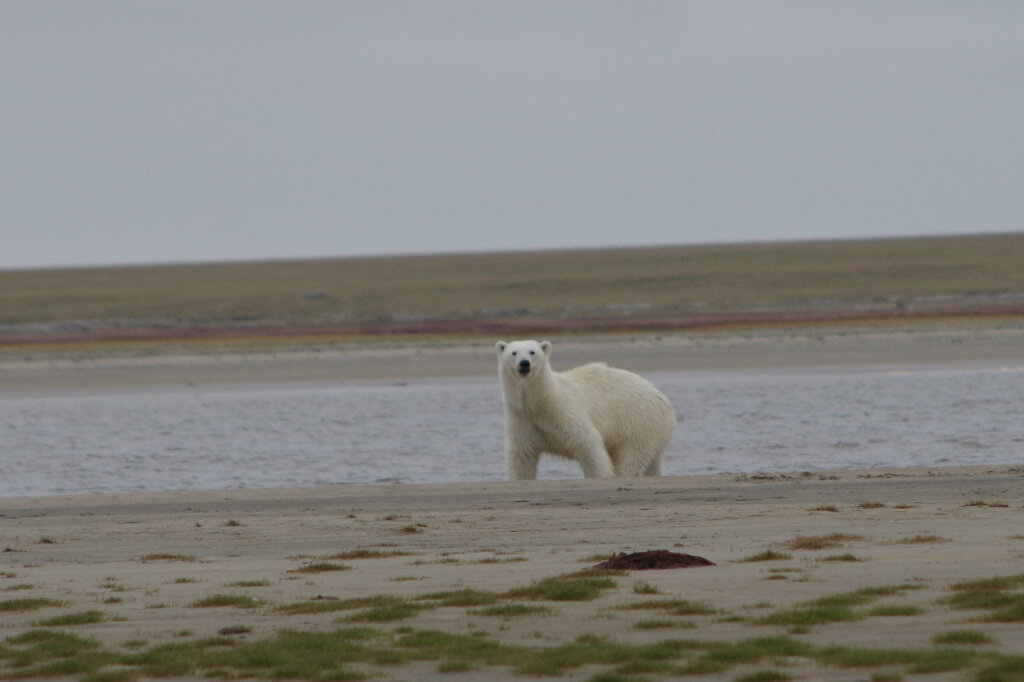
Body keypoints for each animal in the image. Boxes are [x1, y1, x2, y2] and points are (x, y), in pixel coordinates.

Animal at [497, 337, 675, 477]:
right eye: (514, 353)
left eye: (532, 352)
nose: (524, 364)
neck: (540, 402)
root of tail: (663, 399)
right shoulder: (522, 419)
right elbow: (522, 457)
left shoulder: (564, 411)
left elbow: (588, 445)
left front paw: (602, 475)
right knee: (651, 462)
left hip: (638, 423)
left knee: (631, 458)